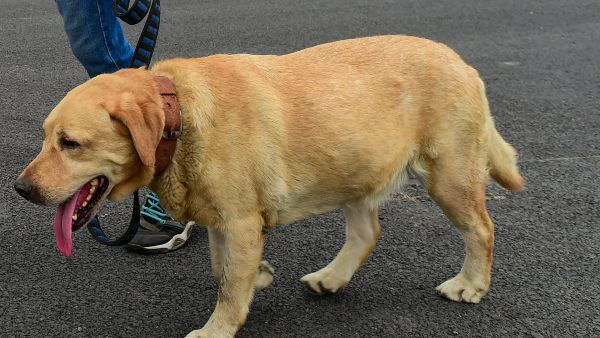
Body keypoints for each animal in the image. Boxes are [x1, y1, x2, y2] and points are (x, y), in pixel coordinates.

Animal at [15, 35, 524, 336]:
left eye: (70, 143)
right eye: (45, 137)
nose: (21, 189)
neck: (179, 118)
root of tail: (462, 62)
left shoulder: (240, 221)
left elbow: (226, 288)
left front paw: (217, 329)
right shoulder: (225, 221)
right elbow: (222, 270)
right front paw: (256, 276)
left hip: (449, 176)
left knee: (483, 230)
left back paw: (471, 284)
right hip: (352, 167)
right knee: (366, 232)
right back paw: (331, 277)